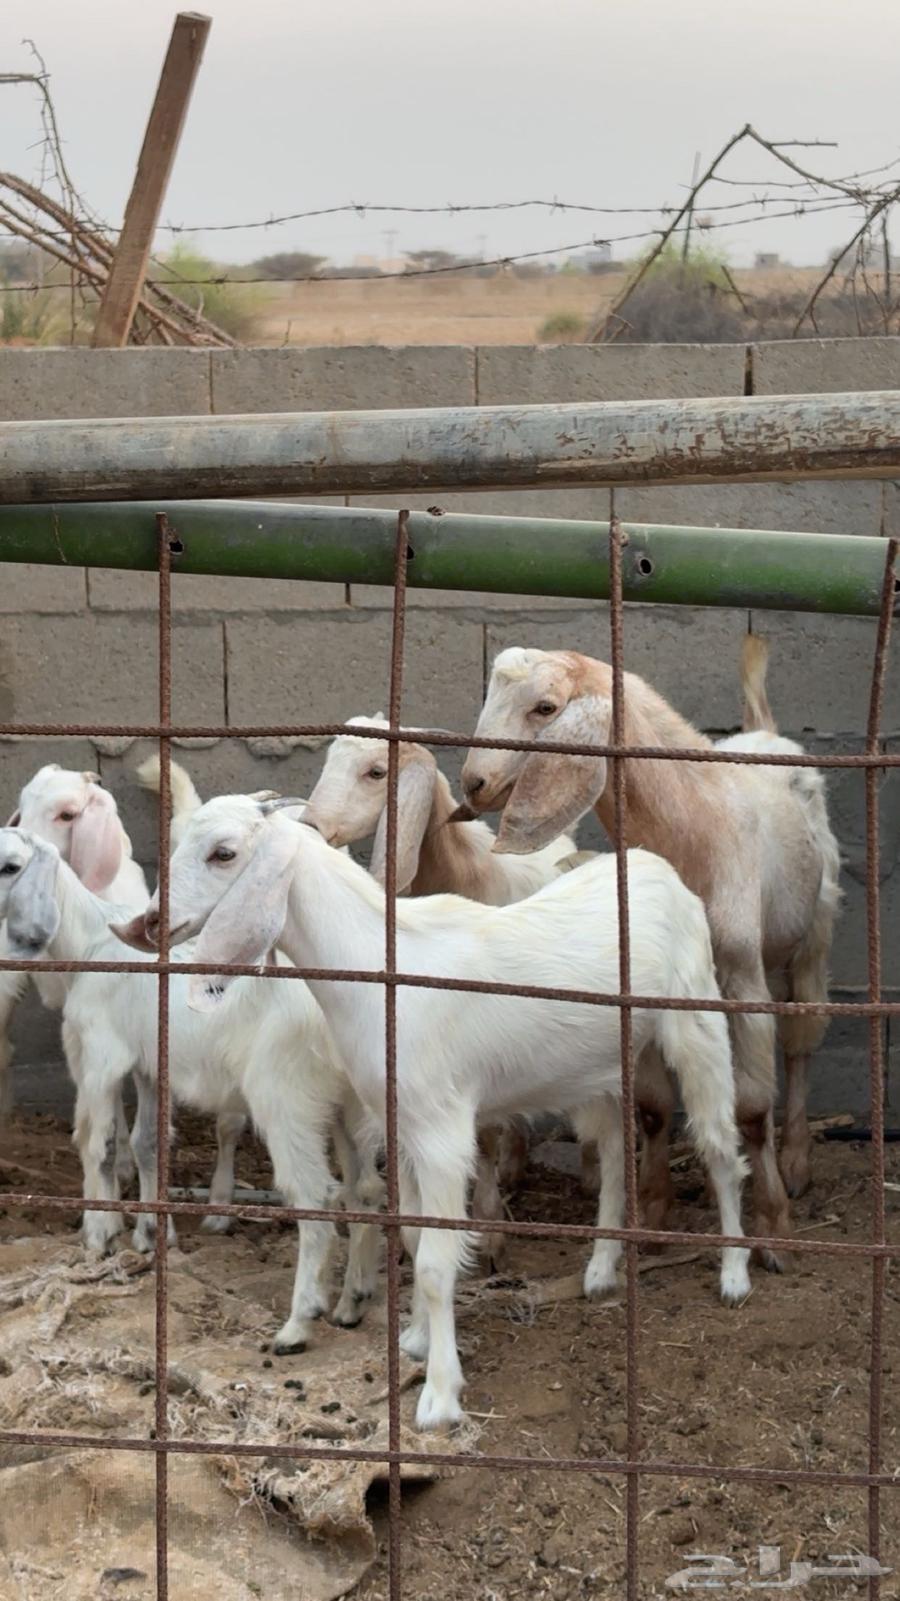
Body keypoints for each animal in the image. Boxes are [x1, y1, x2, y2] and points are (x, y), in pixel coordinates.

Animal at [0, 827, 381, 1353]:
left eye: (10, 866)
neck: (90, 944)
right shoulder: (148, 1064)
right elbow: (147, 1144)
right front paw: (150, 1234)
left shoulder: (100, 1055)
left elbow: (97, 1144)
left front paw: (100, 1235)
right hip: (353, 1106)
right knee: (365, 1188)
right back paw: (352, 1302)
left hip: (287, 1098)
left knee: (316, 1195)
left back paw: (298, 1323)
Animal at [117, 796, 751, 1431]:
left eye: (223, 853)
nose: (151, 922)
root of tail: (651, 866)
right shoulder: (401, 1124)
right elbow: (416, 1237)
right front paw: (417, 1342)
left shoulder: (442, 1130)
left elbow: (433, 1263)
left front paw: (440, 1397)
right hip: (600, 1066)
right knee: (616, 1145)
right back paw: (599, 1270)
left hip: (696, 1023)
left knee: (719, 1147)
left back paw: (734, 1275)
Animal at [458, 639, 840, 1256]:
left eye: (545, 707)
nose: (474, 783)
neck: (694, 826)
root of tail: (764, 733)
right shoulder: (641, 981)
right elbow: (656, 1108)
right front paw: (655, 1213)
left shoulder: (742, 973)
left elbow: (754, 1107)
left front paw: (774, 1226)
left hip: (814, 930)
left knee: (802, 1037)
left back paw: (797, 1160)